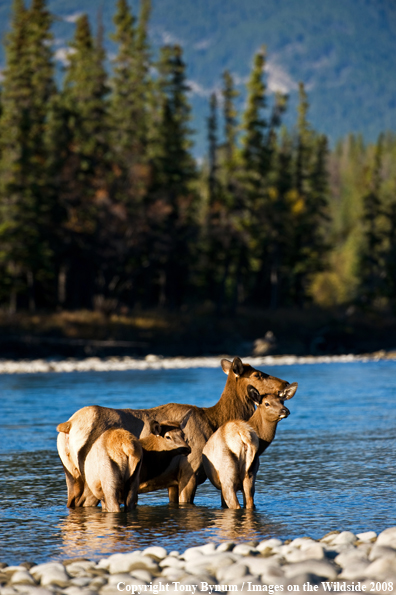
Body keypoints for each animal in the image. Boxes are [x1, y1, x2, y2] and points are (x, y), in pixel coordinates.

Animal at [56, 356, 296, 506]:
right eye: (258, 375)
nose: (285, 382)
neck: (214, 421)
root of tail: (67, 426)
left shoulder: (171, 481)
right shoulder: (189, 474)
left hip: (71, 476)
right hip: (92, 475)